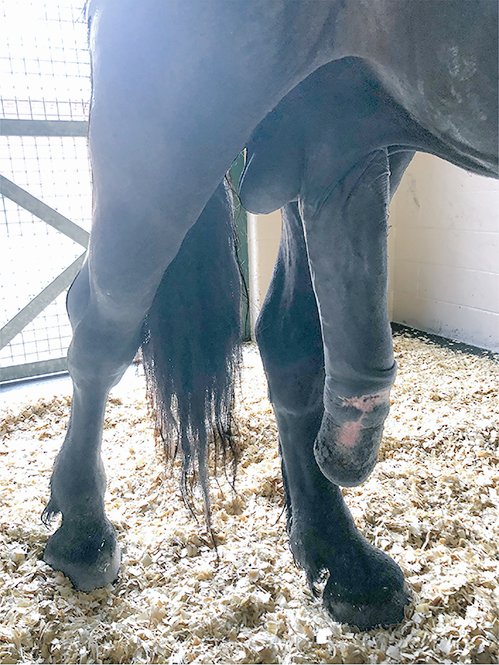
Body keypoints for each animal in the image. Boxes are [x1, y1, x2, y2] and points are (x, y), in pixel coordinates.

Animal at [40, 0, 497, 631]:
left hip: (341, 121)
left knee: (287, 337)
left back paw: (343, 560)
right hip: (179, 117)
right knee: (105, 324)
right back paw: (83, 532)